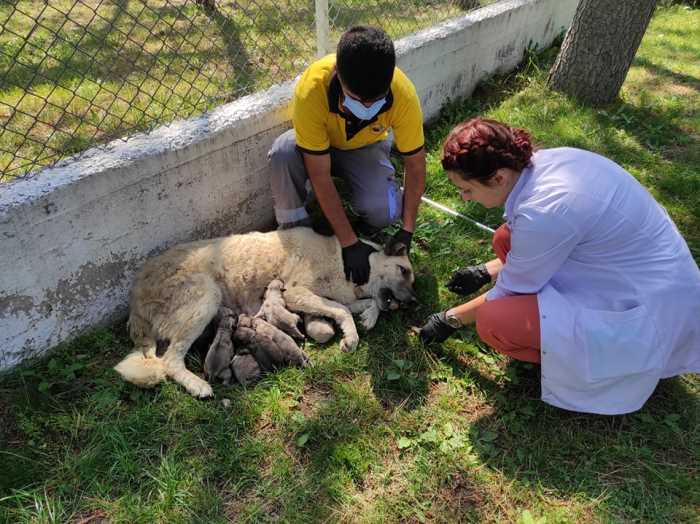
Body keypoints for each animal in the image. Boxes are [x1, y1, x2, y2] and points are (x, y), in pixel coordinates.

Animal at [115, 228, 416, 398]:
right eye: (403, 270)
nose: (413, 302)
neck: (348, 261)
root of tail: (135, 299)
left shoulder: (331, 296)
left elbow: (365, 304)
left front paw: (367, 318)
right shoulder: (296, 294)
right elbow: (344, 310)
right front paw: (352, 336)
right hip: (206, 299)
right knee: (170, 361)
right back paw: (198, 386)